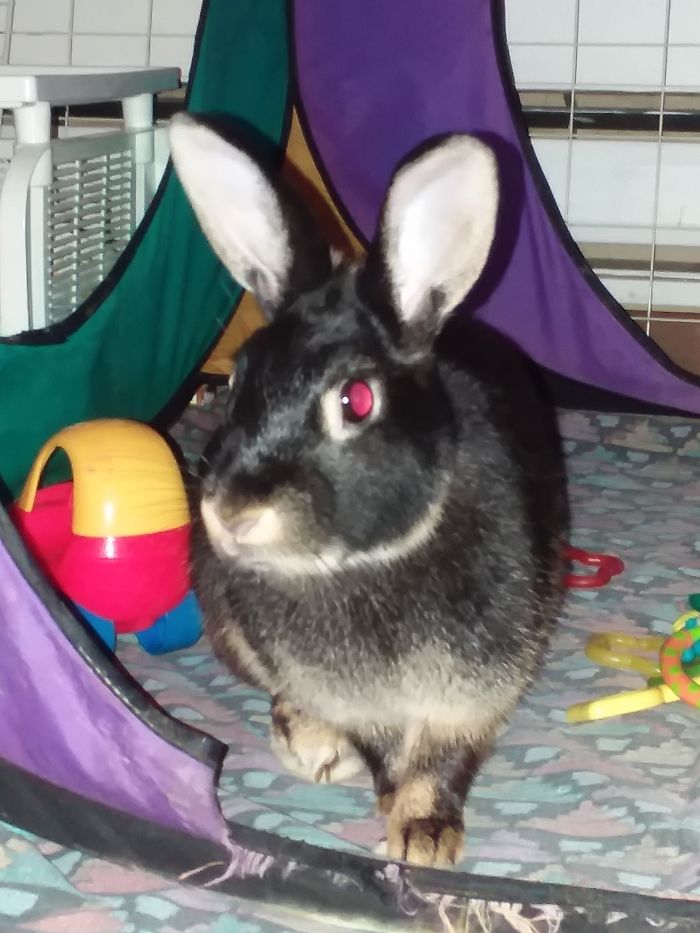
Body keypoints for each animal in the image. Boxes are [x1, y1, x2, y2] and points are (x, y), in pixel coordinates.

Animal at [168, 112, 569, 868]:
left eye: (356, 400)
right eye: (235, 379)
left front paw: (425, 837)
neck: (356, 565)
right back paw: (310, 742)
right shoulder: (360, 705)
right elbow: (382, 750)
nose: (232, 513)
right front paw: (394, 809)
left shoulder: (474, 693)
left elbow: (441, 761)